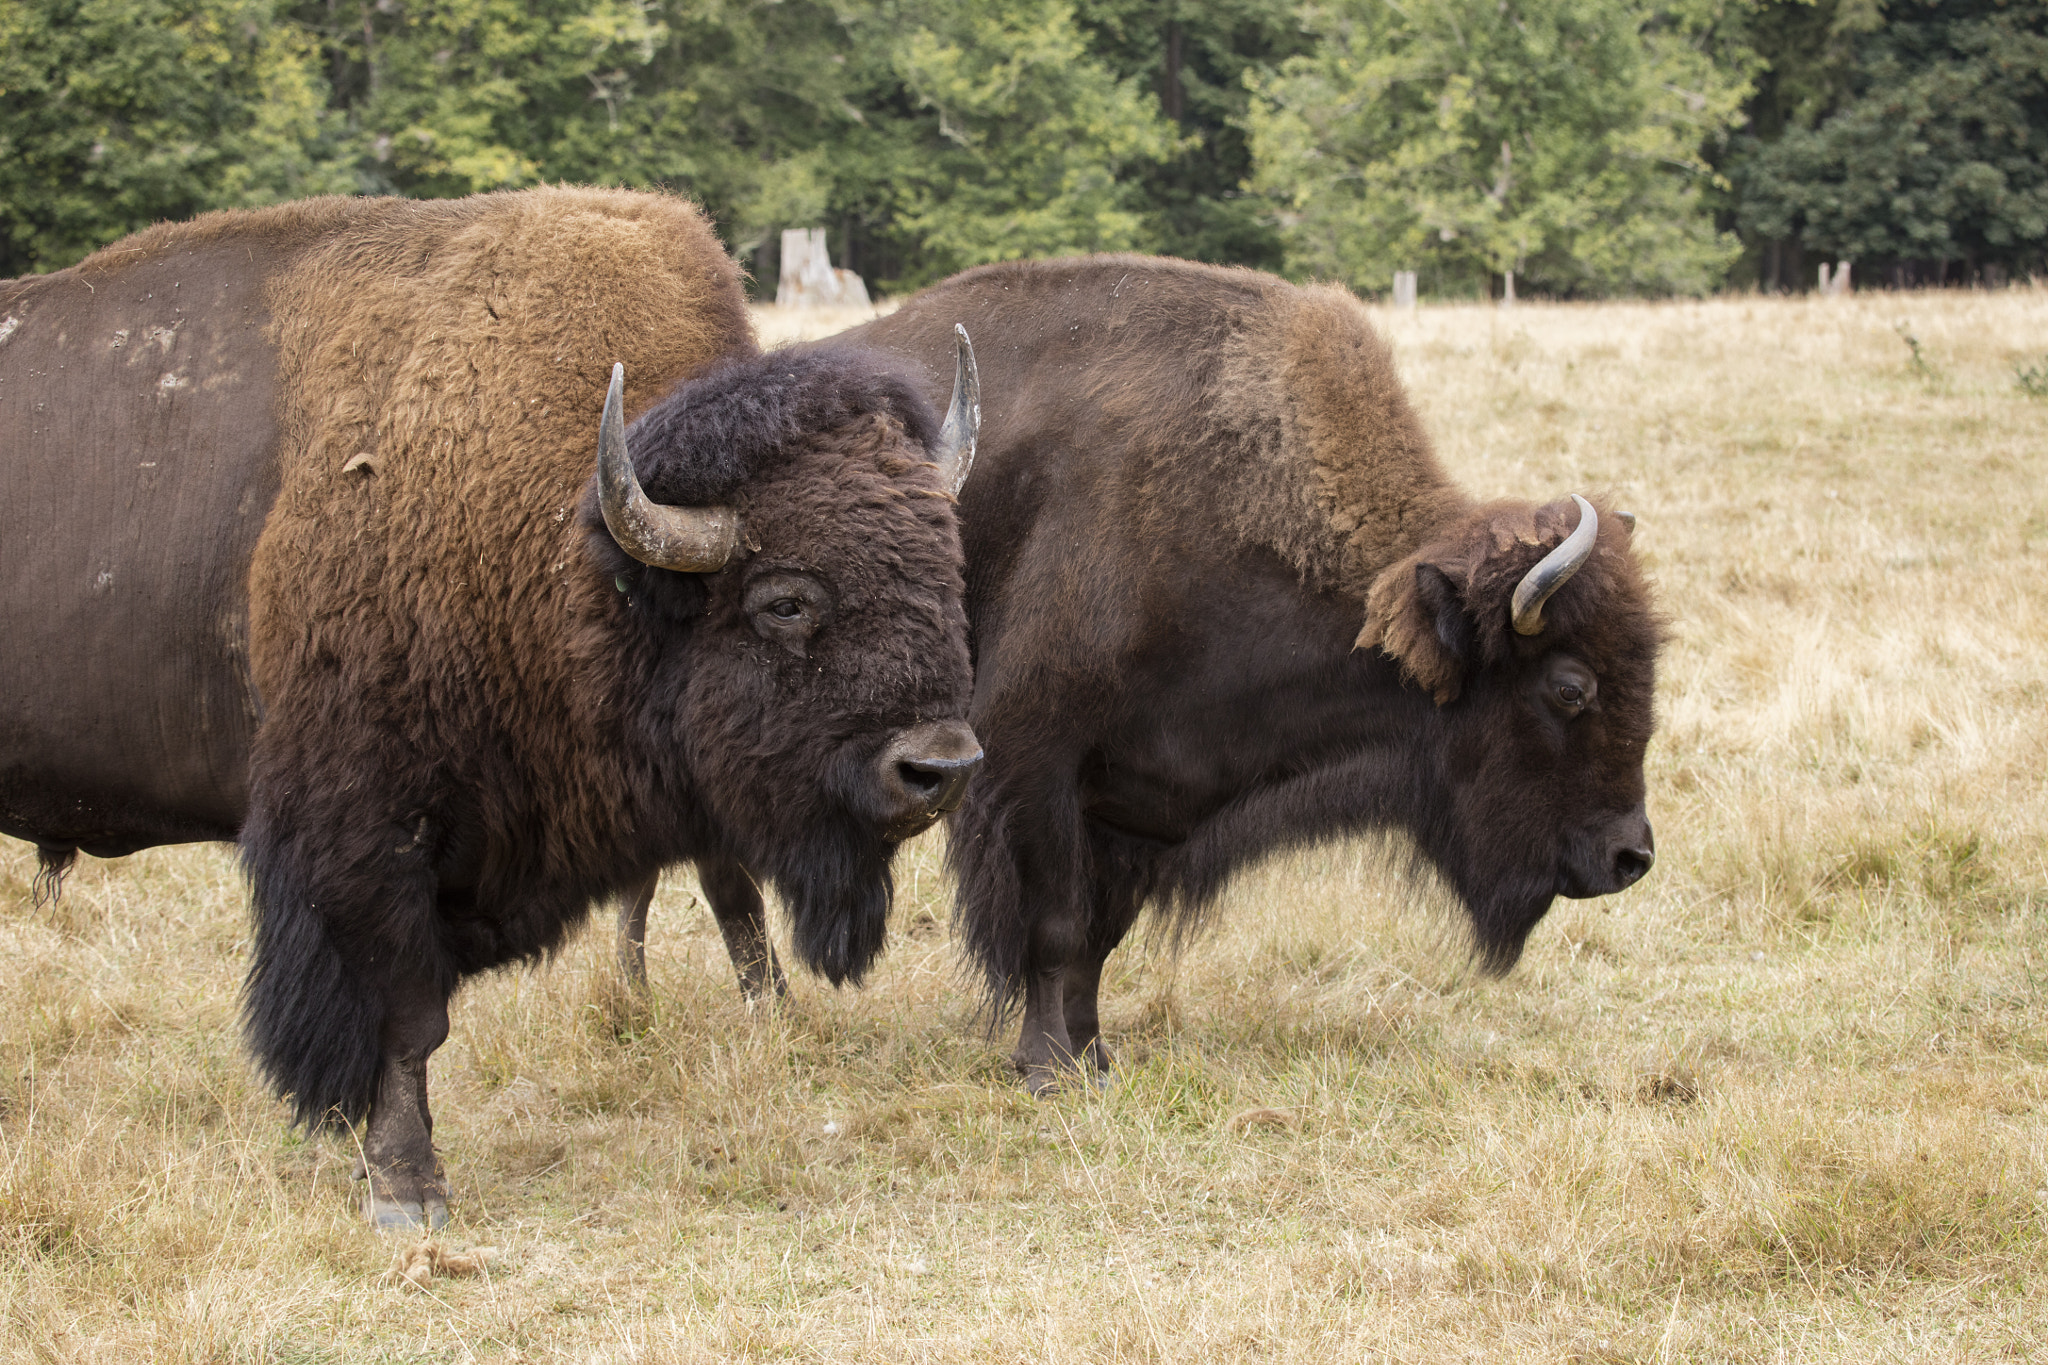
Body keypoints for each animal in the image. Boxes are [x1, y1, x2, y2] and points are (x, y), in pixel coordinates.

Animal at [0, 187, 983, 1224]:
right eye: (785, 600)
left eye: (947, 567)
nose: (941, 767)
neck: (574, 551)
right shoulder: (366, 837)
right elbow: (403, 1015)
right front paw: (408, 1188)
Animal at [619, 255, 1661, 1094]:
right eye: (1569, 687)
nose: (1630, 856)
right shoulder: (1033, 763)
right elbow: (1053, 924)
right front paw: (1050, 1069)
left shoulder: (1145, 797)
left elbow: (1096, 937)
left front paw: (1092, 1052)